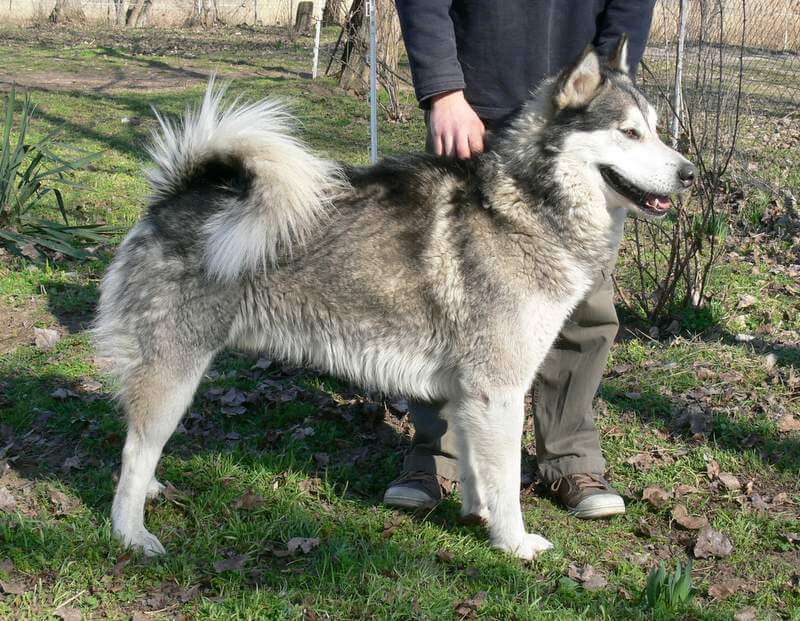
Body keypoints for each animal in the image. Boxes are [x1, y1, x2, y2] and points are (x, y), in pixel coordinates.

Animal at [94, 37, 692, 560]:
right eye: (628, 132)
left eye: (656, 131)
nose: (689, 172)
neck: (524, 204)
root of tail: (176, 195)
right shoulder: (498, 391)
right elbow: (504, 481)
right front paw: (513, 543)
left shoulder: (471, 396)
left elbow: (477, 470)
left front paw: (477, 516)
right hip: (175, 372)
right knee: (134, 450)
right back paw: (131, 534)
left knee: (140, 446)